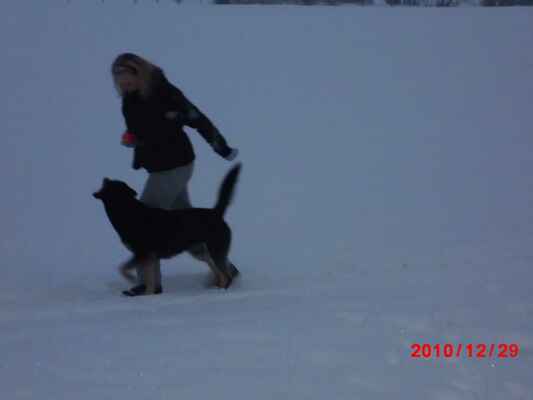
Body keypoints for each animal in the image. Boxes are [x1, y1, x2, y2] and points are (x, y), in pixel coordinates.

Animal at [93, 163, 242, 294]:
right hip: (200, 251)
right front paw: (148, 294)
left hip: (213, 250)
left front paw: (133, 280)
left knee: (225, 275)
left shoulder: (142, 254)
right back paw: (216, 287)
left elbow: (123, 269)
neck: (126, 212)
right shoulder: (150, 257)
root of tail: (216, 212)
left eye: (111, 183)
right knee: (218, 270)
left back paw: (221, 291)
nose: (105, 177)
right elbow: (149, 281)